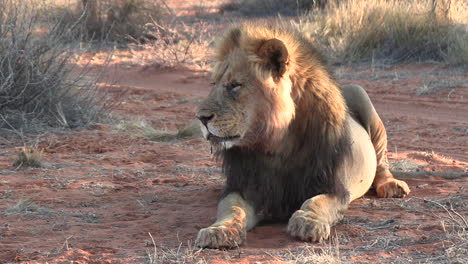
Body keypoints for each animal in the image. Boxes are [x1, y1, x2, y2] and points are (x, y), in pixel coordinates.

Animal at [194, 22, 410, 248]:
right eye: (213, 84)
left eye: (235, 85)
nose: (200, 117)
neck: (276, 146)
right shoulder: (244, 187)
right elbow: (232, 209)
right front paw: (218, 231)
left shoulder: (334, 187)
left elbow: (316, 201)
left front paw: (308, 223)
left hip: (362, 96)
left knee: (382, 163)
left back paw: (392, 186)